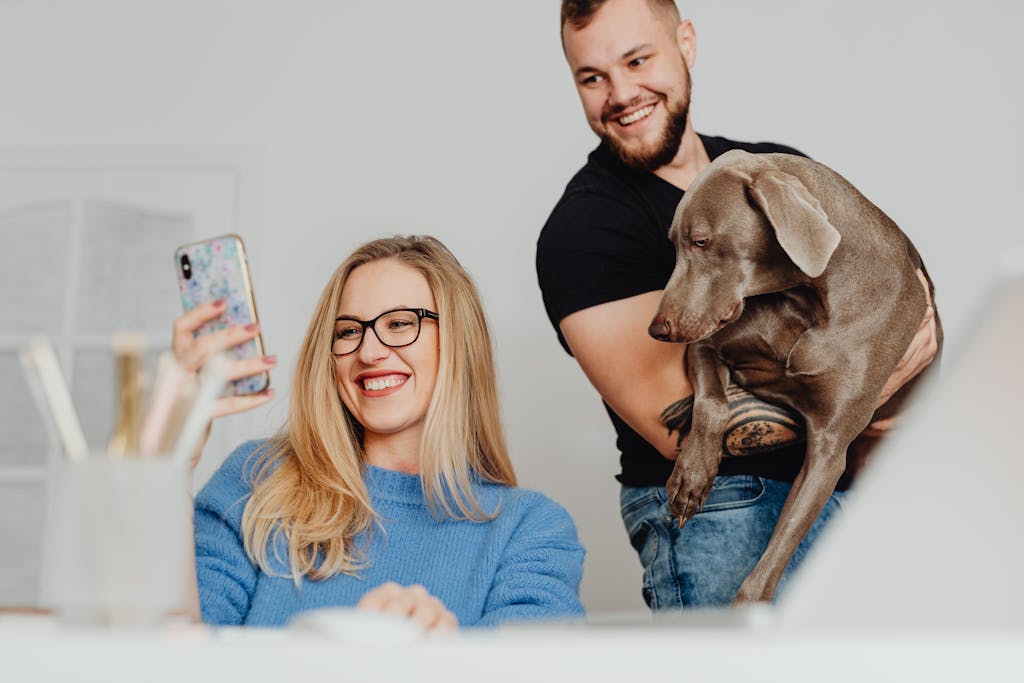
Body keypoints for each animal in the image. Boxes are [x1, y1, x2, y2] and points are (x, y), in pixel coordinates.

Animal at [651, 149, 937, 602]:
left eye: (701, 241)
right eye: (675, 245)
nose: (657, 329)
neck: (804, 299)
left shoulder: (829, 447)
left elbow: (772, 559)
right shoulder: (704, 345)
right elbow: (713, 405)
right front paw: (691, 478)